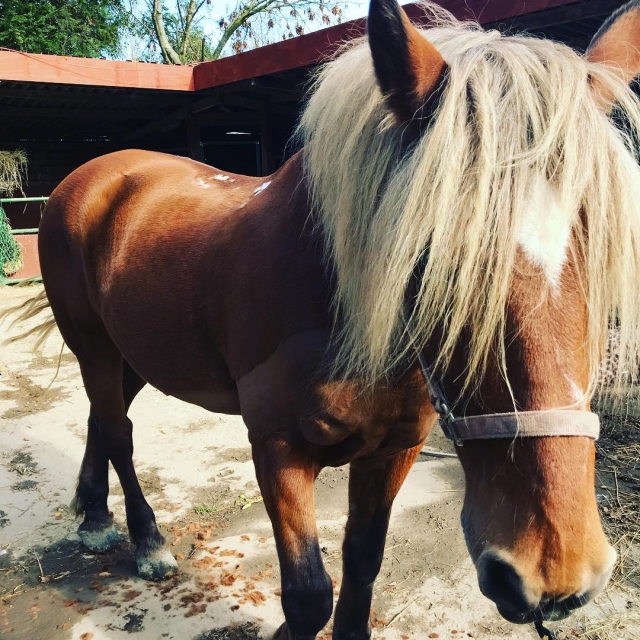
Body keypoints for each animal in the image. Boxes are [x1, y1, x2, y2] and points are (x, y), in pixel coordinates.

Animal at [8, 0, 640, 637]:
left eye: (607, 249)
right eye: (430, 255)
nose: (553, 577)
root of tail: (91, 174)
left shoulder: (395, 449)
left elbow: (363, 562)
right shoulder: (277, 446)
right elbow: (308, 595)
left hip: (135, 354)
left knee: (103, 418)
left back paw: (94, 516)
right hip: (93, 345)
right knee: (118, 430)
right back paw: (146, 541)